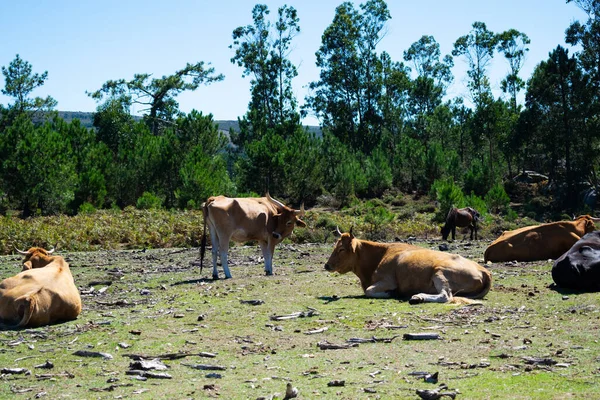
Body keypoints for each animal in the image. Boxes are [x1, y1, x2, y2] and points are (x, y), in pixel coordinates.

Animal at [324, 228, 492, 304]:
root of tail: (484, 271)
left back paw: (418, 297)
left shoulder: (388, 281)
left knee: (445, 296)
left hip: (439, 273)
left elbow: (369, 291)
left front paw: (390, 294)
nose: (327, 265)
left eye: (341, 249)